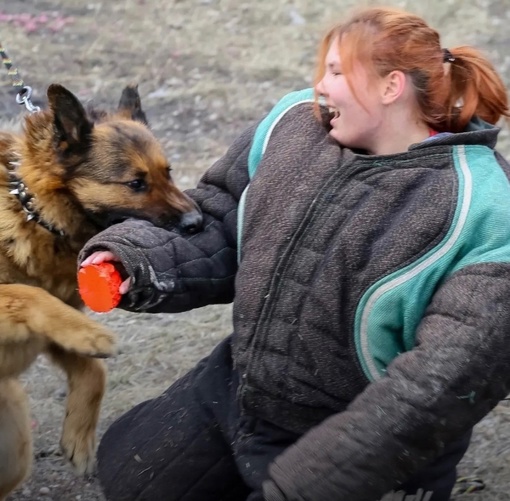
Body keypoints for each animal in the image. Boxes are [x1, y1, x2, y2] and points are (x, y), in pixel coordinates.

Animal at [0, 83, 201, 496]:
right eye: (136, 184)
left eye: (168, 173)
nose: (197, 222)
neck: (33, 214)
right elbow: (31, 294)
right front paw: (93, 334)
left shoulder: (54, 333)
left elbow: (95, 371)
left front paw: (79, 437)